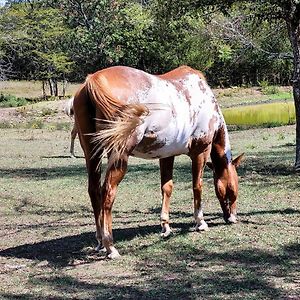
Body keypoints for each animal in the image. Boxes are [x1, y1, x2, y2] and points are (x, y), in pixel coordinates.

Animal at [72, 65, 244, 258]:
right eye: (233, 189)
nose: (232, 218)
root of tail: (93, 80)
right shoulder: (200, 152)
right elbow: (197, 186)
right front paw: (200, 222)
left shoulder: (167, 155)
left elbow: (166, 188)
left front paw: (166, 227)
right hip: (118, 156)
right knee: (108, 192)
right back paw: (110, 246)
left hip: (92, 153)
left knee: (94, 191)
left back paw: (101, 242)